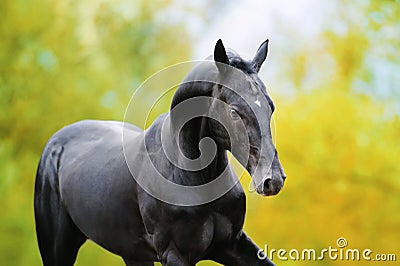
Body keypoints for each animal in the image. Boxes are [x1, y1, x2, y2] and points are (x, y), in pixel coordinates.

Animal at [33, 38, 284, 264]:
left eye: (270, 106)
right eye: (233, 111)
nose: (273, 180)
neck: (187, 172)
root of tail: (55, 144)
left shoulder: (233, 245)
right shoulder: (174, 254)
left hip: (133, 254)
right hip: (59, 249)